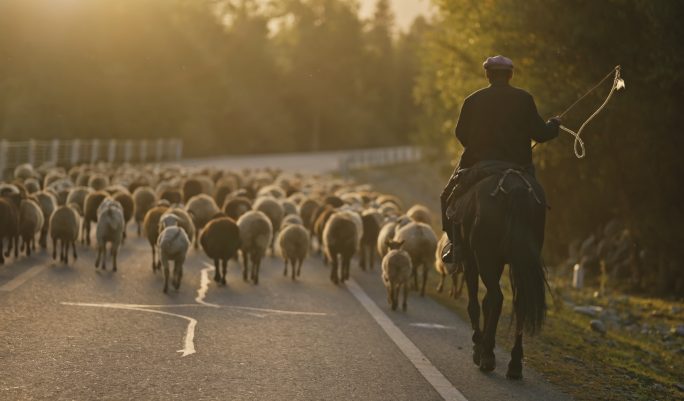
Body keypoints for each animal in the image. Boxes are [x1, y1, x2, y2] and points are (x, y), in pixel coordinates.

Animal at [452, 169, 548, 378]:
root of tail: (516, 186)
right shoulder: (496, 263)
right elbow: (486, 302)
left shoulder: (472, 258)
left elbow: (475, 304)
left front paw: (478, 345)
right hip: (519, 258)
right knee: (519, 303)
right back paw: (515, 364)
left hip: (484, 255)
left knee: (497, 298)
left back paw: (487, 354)